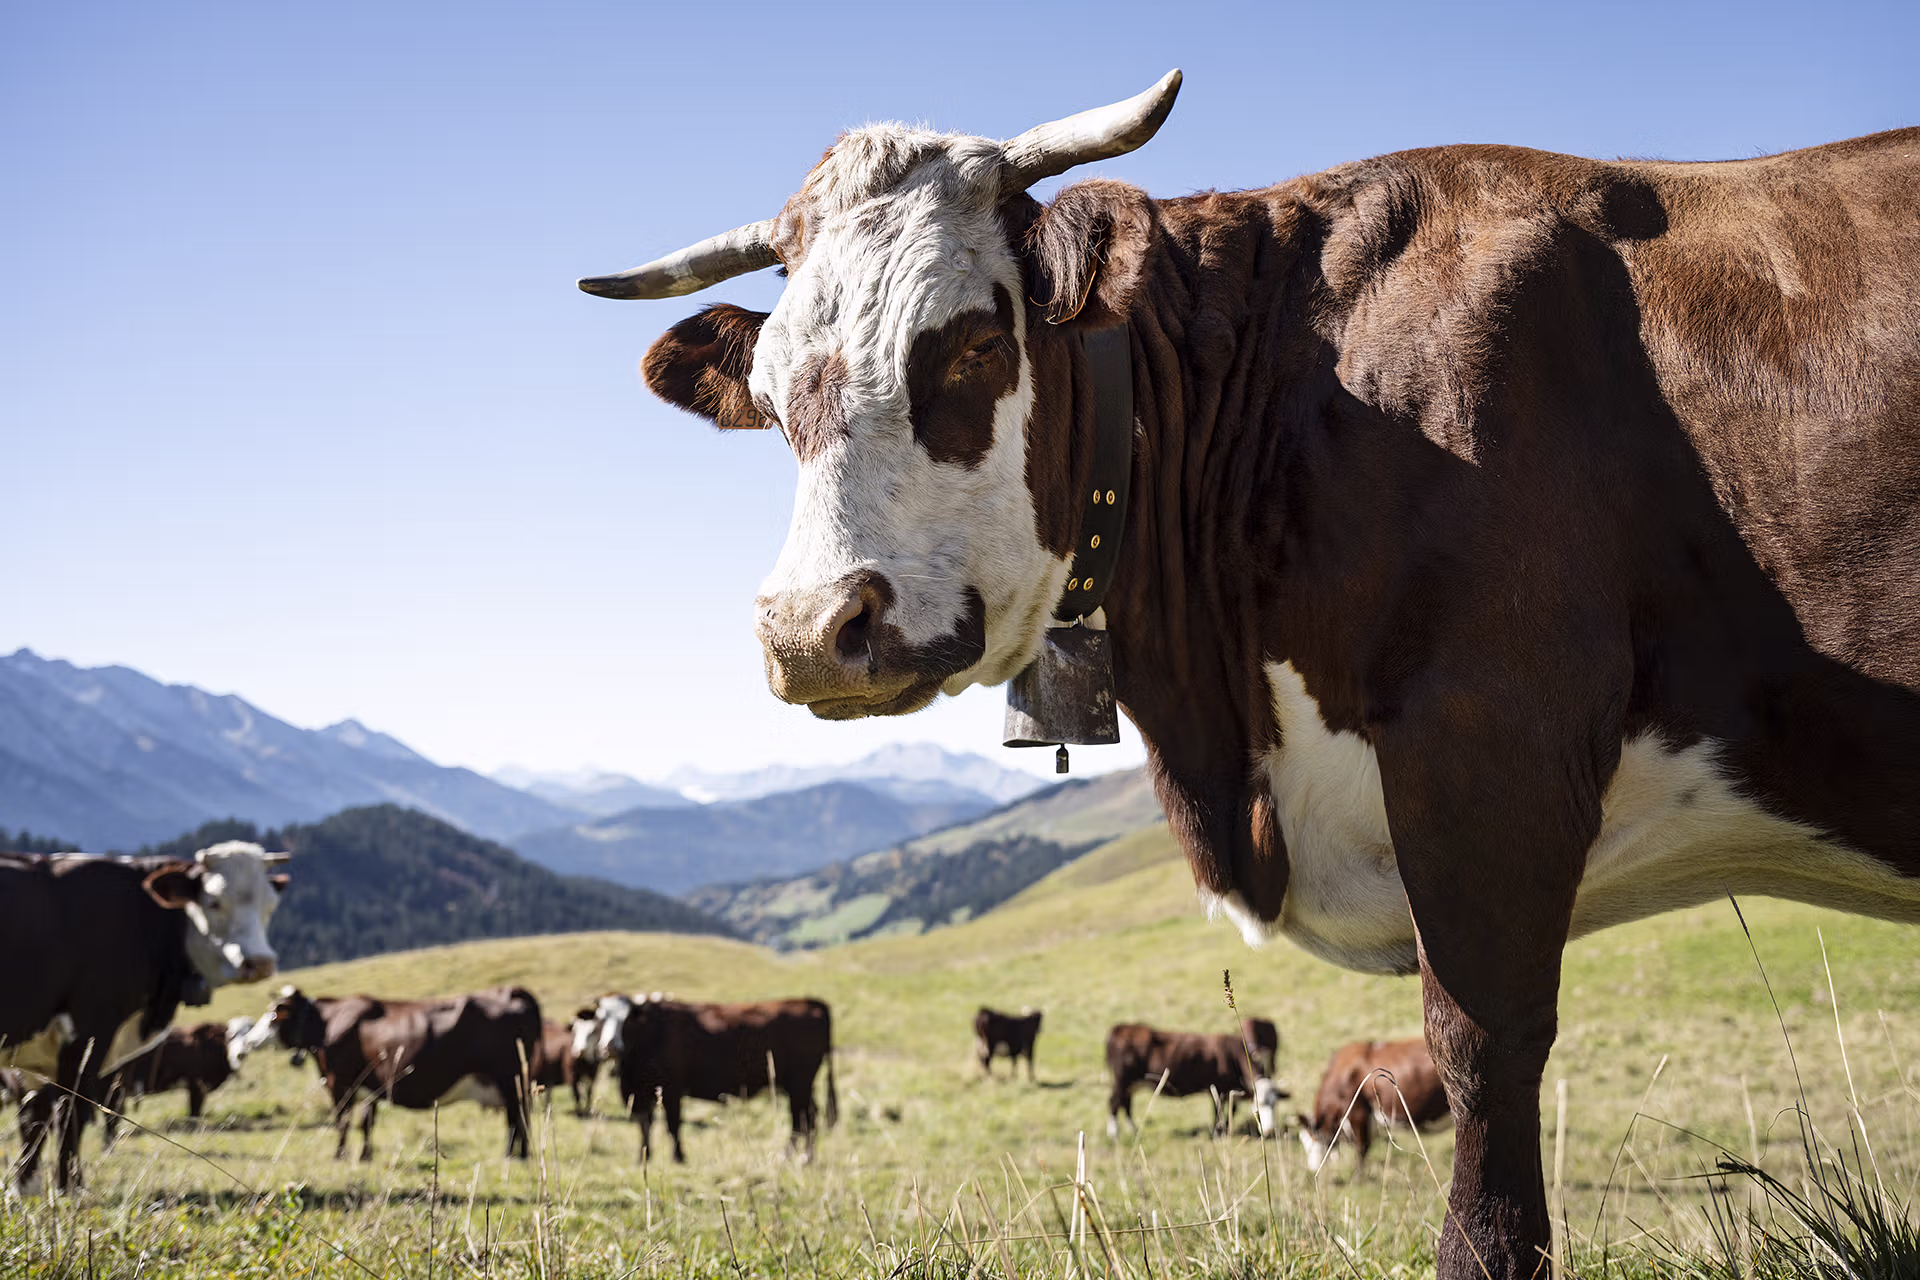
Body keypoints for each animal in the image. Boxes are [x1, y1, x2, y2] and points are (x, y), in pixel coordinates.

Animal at [100, 1017, 260, 1147]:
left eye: (249, 1037)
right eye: (230, 1037)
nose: (241, 1053)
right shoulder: (196, 1086)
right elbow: (194, 1113)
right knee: (109, 1119)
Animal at [260, 985, 540, 1161]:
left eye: (273, 1016)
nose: (253, 1037)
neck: (327, 1022)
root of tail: (512, 991)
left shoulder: (338, 1082)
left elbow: (343, 1121)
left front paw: (339, 1156)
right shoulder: (368, 1086)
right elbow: (366, 1122)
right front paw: (365, 1156)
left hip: (509, 1080)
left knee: (518, 1118)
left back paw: (515, 1155)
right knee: (519, 1118)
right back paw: (518, 1154)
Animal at [606, 995, 837, 1164]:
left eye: (626, 1020)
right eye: (601, 1019)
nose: (610, 1045)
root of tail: (809, 1001)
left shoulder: (671, 1090)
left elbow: (672, 1125)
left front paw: (678, 1157)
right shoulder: (641, 1094)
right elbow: (645, 1126)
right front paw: (644, 1157)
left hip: (799, 1085)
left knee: (802, 1119)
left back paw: (794, 1157)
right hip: (800, 1087)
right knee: (809, 1117)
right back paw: (804, 1157)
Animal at [1104, 1022, 1285, 1139]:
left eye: (1275, 1104)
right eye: (1259, 1104)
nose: (1270, 1131)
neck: (1232, 1055)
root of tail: (1121, 1028)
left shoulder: (1230, 1091)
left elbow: (1231, 1110)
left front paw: (1226, 1129)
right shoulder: (1218, 1090)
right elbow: (1218, 1111)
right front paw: (1218, 1132)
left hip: (1131, 1084)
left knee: (1125, 1103)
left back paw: (1133, 1129)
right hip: (1122, 1081)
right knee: (1114, 1102)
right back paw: (1114, 1133)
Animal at [1297, 1038, 1451, 1171]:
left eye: (1312, 1140)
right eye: (1303, 1141)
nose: (1313, 1168)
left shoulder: (1358, 1113)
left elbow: (1362, 1148)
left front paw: (1358, 1178)